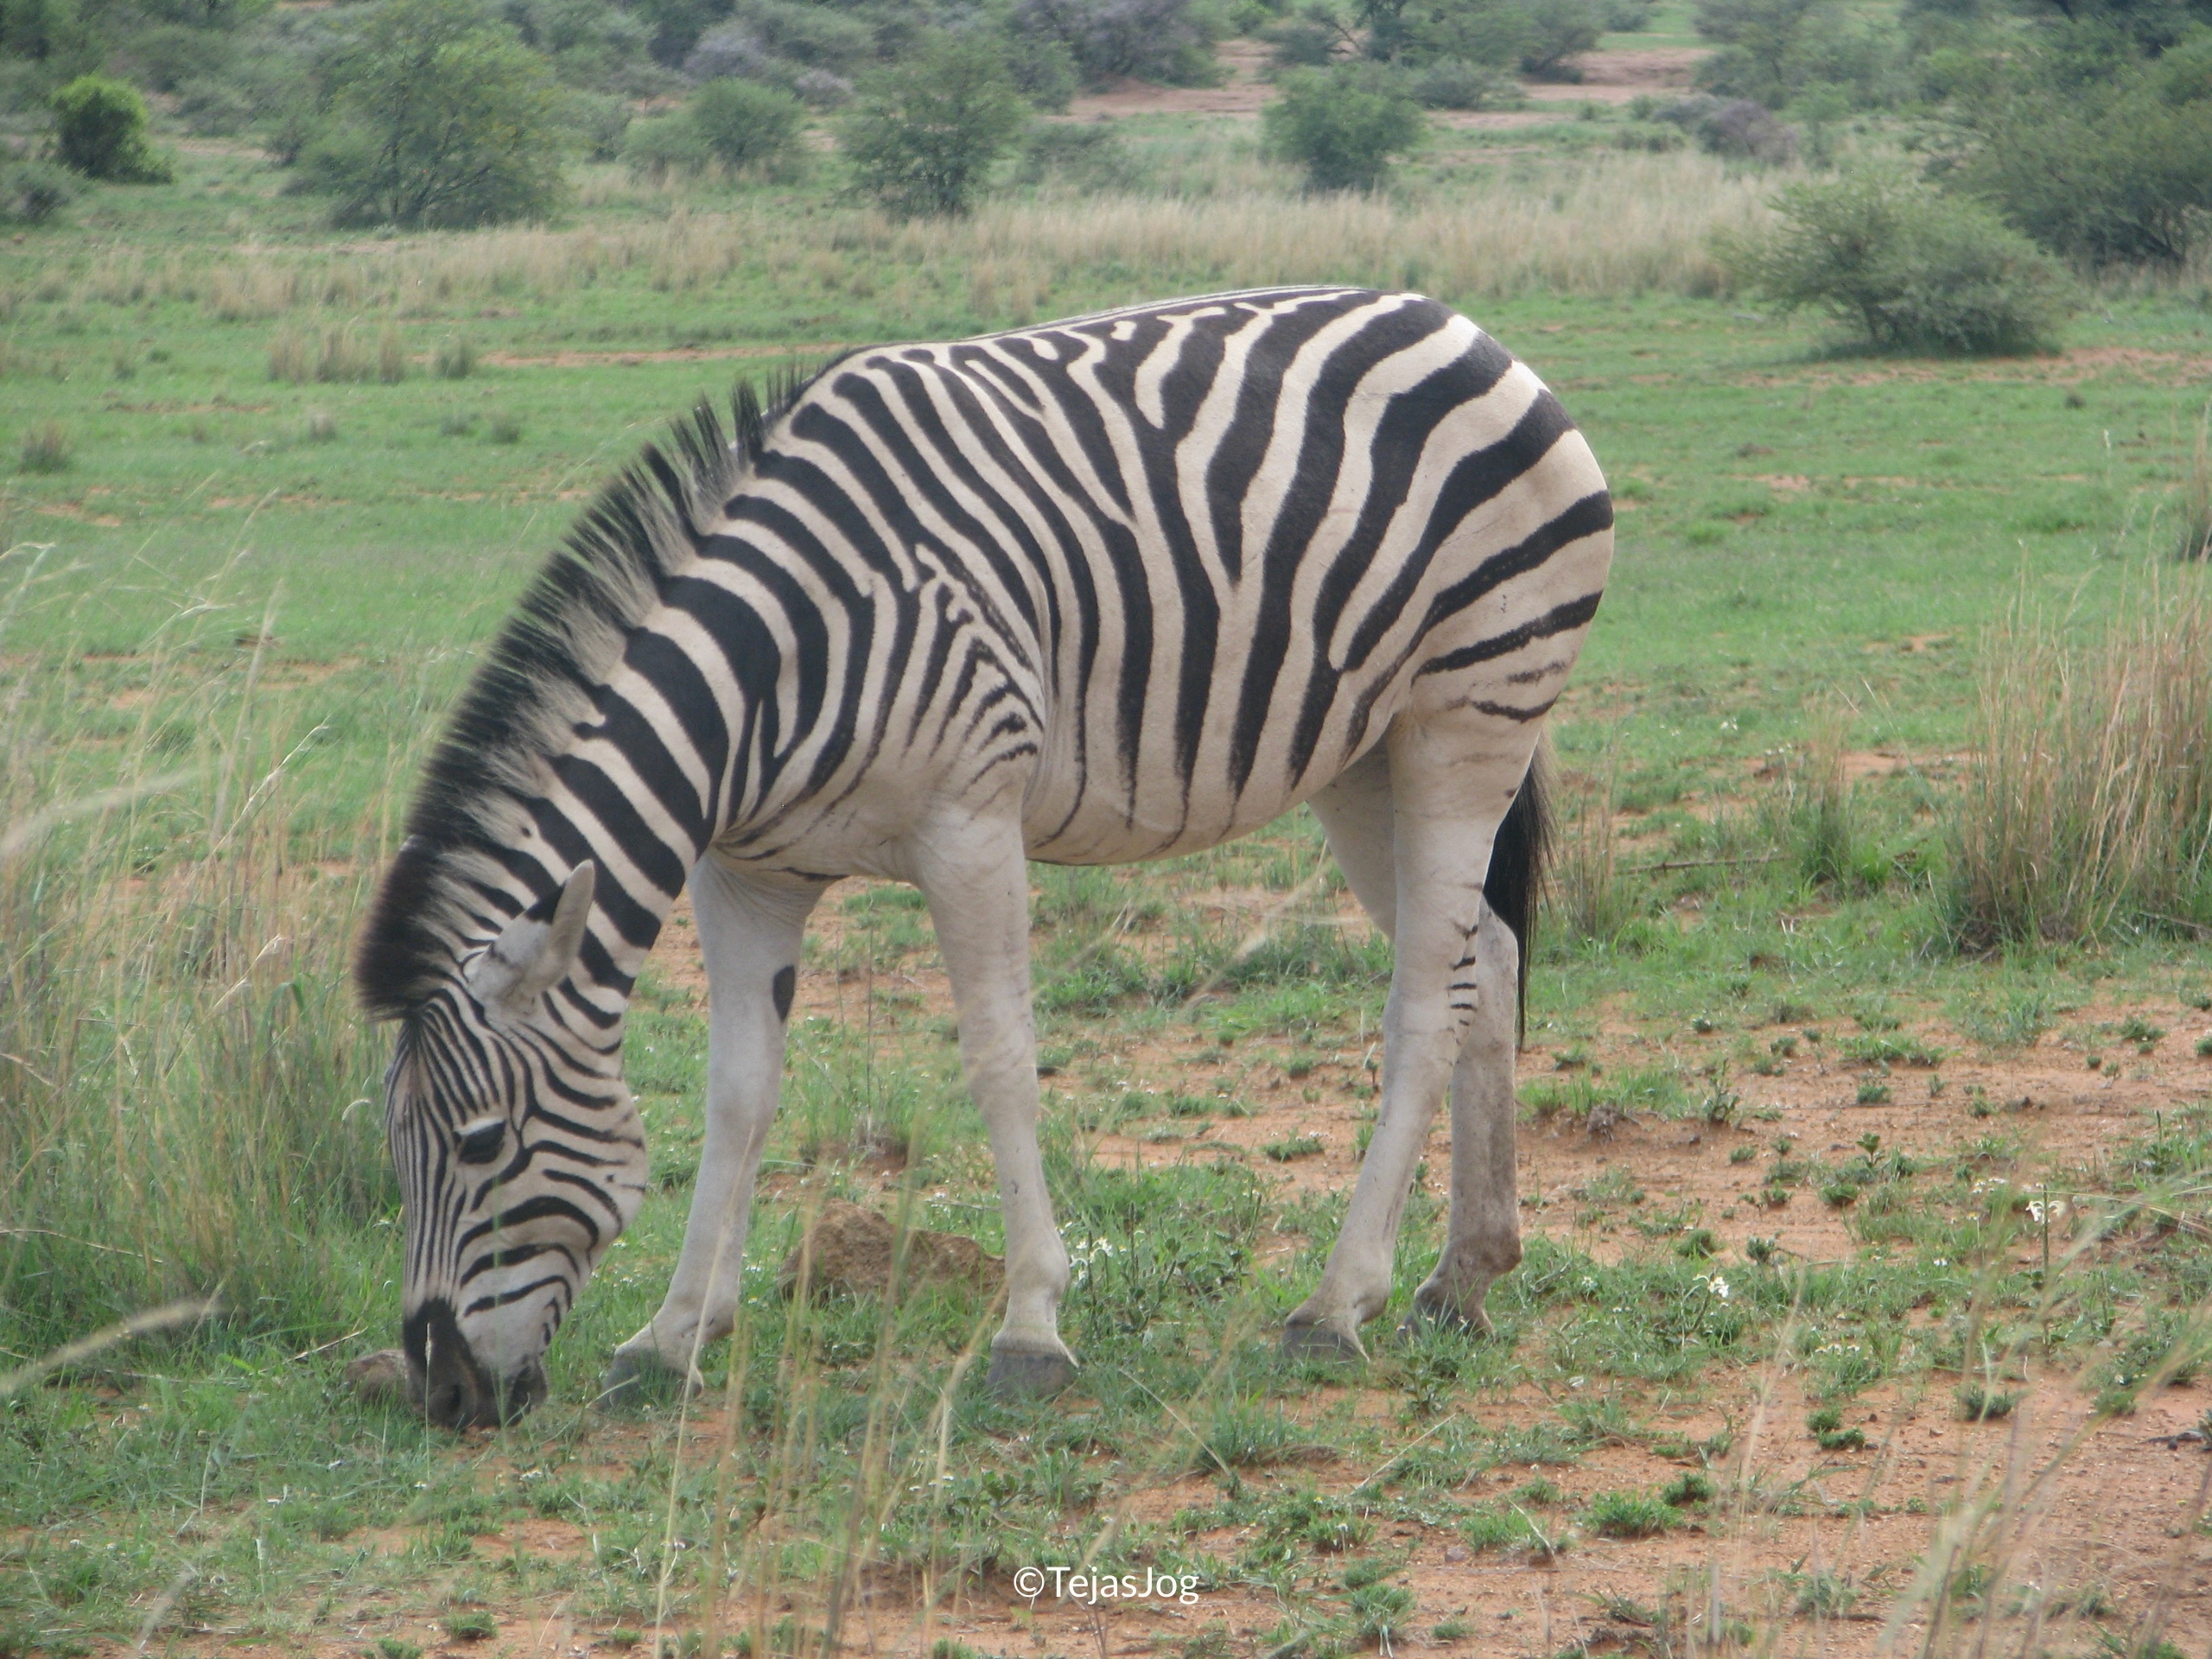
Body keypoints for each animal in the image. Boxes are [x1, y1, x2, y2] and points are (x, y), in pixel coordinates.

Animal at [355, 285, 1613, 1428]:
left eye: (481, 1142)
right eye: (394, 1147)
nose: (444, 1394)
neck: (773, 665)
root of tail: (1454, 321)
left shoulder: (971, 818)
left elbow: (1001, 1062)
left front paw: (1031, 1331)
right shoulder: (745, 872)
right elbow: (738, 1092)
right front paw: (672, 1338)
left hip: (1468, 716)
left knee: (1425, 1002)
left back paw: (1336, 1304)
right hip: (1363, 754)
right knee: (1486, 961)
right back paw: (1463, 1278)